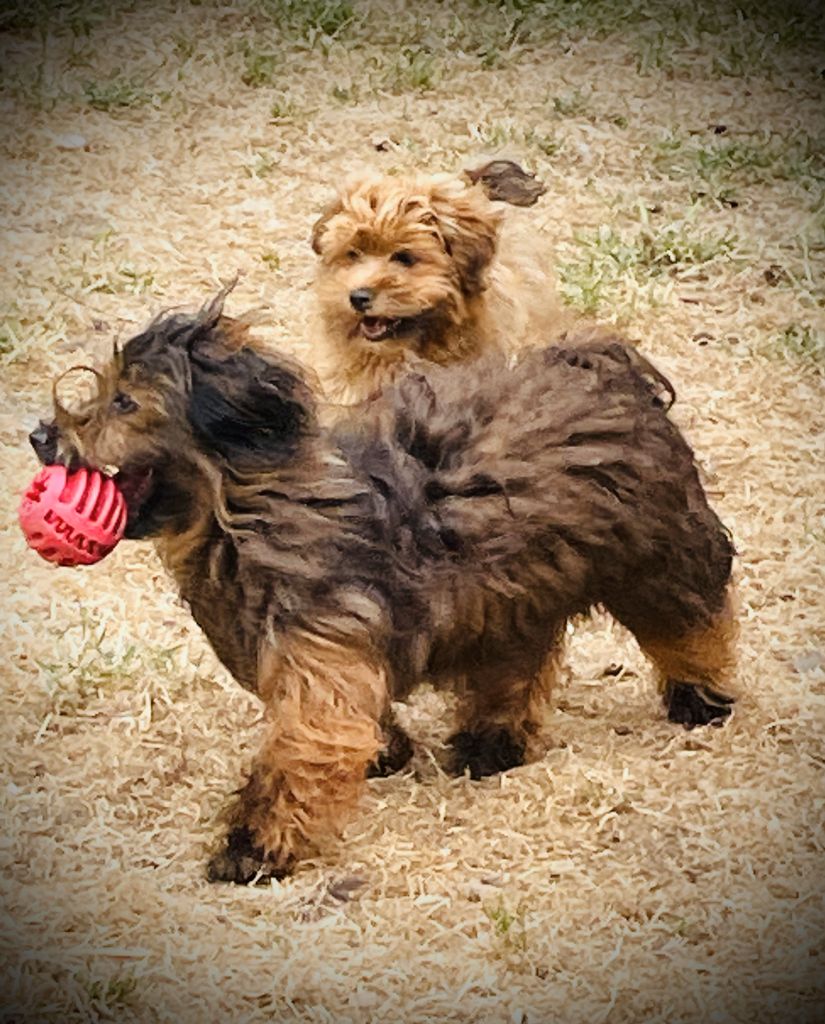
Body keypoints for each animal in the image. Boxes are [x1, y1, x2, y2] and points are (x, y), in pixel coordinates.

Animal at [30, 286, 736, 880]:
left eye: (125, 402)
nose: (40, 435)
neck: (257, 511)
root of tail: (604, 365)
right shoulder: (318, 660)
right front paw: (385, 753)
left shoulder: (319, 664)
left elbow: (300, 755)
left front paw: (254, 847)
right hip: (512, 592)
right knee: (517, 661)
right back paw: (492, 741)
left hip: (654, 554)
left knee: (691, 617)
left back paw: (701, 698)